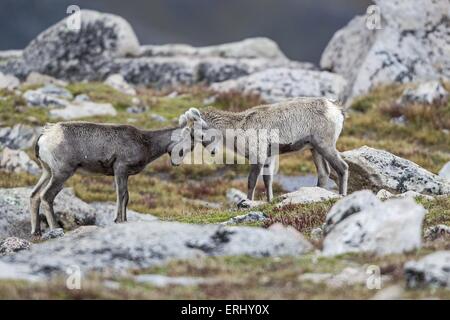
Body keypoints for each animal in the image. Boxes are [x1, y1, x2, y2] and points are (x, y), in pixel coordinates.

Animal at [29, 122, 188, 238]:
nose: (176, 162)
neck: (146, 143)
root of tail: (44, 136)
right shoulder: (120, 169)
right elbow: (121, 195)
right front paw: (119, 220)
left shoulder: (125, 174)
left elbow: (126, 197)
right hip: (61, 174)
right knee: (46, 196)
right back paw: (56, 230)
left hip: (47, 172)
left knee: (34, 195)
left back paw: (36, 232)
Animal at [178, 97, 348, 205]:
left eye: (199, 134)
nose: (213, 152)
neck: (239, 127)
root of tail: (336, 109)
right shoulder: (268, 158)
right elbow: (268, 181)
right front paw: (269, 201)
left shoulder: (257, 156)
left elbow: (251, 181)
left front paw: (247, 202)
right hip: (315, 149)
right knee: (324, 173)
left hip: (325, 145)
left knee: (343, 167)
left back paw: (342, 195)